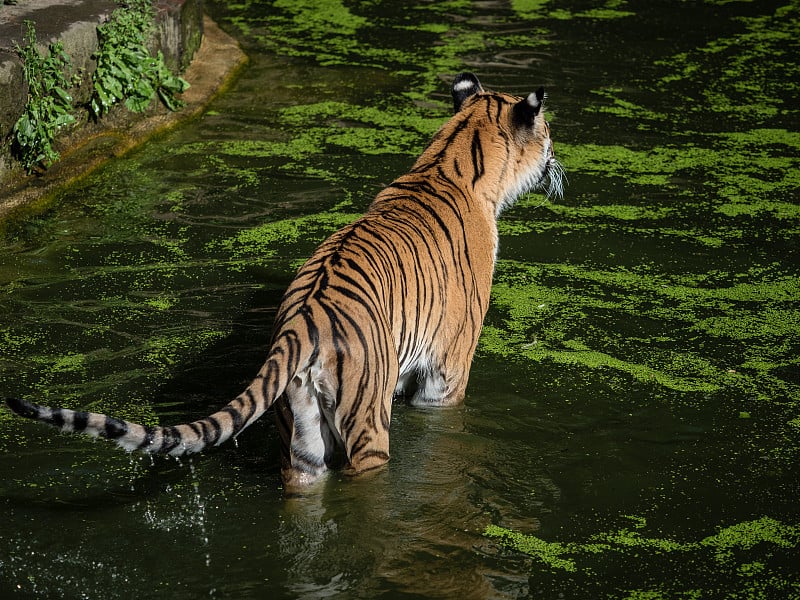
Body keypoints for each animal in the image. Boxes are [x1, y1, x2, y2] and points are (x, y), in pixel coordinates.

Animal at [4, 72, 564, 492]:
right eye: (549, 137)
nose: (559, 164)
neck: (452, 159)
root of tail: (303, 322)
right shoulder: (447, 371)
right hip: (366, 425)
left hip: (301, 444)